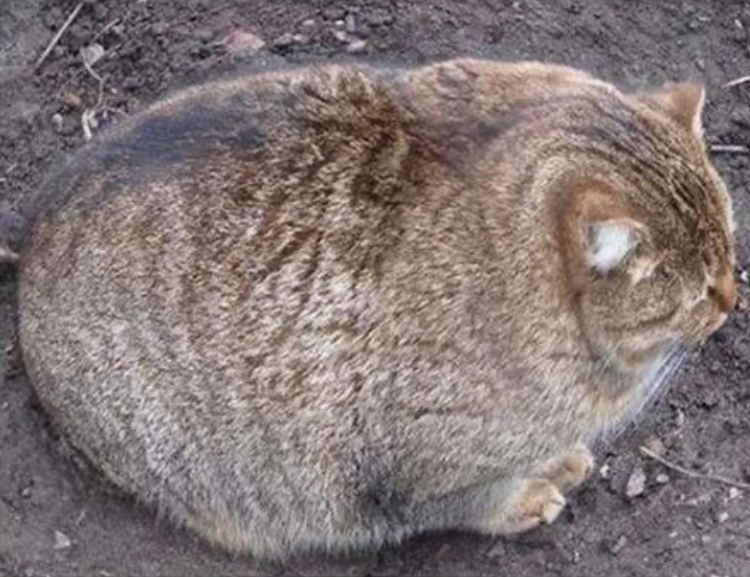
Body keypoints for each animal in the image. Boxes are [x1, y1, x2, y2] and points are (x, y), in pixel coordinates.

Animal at [16, 59, 736, 558]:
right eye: (702, 289)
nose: (735, 299)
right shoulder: (424, 462)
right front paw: (529, 492)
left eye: (733, 248)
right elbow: (478, 499)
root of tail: (25, 258)